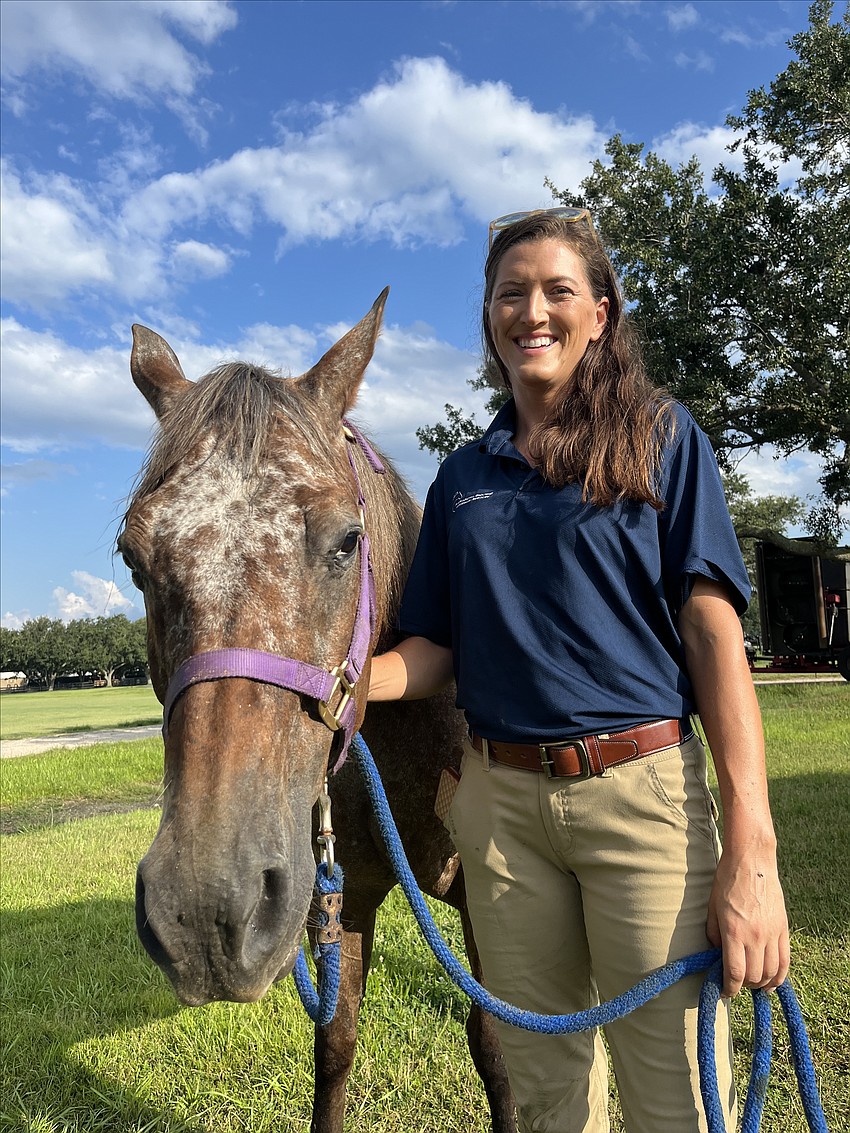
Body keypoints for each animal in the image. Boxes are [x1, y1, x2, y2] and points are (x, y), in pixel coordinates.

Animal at [122, 292, 516, 1133]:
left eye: (345, 540)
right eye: (133, 558)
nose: (208, 908)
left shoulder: (494, 903)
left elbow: (498, 1041)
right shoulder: (340, 897)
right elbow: (335, 1040)